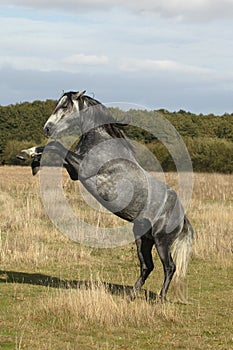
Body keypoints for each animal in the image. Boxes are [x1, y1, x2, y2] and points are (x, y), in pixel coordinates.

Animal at [18, 91, 194, 302]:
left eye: (65, 106)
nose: (47, 128)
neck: (101, 141)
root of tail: (182, 217)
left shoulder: (82, 168)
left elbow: (56, 146)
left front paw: (28, 155)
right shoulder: (75, 172)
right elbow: (55, 151)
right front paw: (30, 158)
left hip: (162, 241)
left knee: (169, 267)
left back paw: (160, 299)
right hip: (143, 239)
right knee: (147, 266)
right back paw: (130, 296)